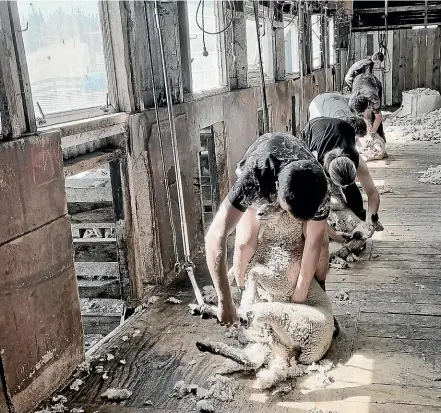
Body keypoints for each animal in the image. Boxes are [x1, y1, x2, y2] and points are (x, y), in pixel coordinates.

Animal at [196, 203, 334, 390]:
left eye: (281, 206)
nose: (259, 213)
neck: (277, 243)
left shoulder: (283, 282)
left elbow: (254, 274)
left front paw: (248, 297)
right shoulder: (251, 263)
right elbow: (236, 273)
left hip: (290, 318)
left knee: (256, 326)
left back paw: (236, 316)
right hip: (269, 341)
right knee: (251, 360)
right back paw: (207, 338)